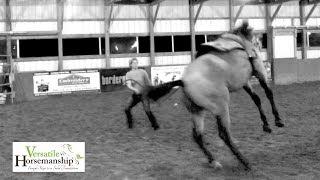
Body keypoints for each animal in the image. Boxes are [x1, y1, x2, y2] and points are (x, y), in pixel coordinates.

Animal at [145, 21, 282, 169]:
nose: (260, 46)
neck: (241, 42)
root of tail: (184, 81)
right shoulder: (259, 70)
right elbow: (268, 93)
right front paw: (277, 120)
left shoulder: (244, 81)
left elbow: (256, 98)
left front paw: (266, 125)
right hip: (222, 107)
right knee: (224, 134)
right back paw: (244, 162)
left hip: (197, 111)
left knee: (197, 136)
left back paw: (213, 161)